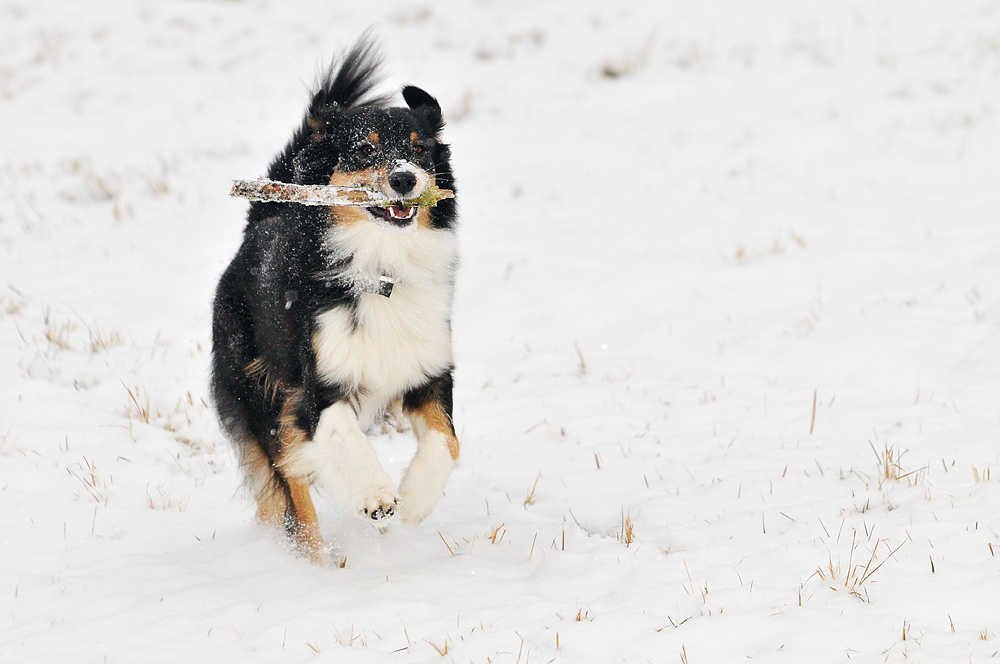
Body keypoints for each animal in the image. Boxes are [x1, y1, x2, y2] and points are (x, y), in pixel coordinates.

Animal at [214, 39, 460, 564]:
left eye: (419, 148)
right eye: (365, 148)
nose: (405, 180)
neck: (379, 268)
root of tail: (262, 218)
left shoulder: (429, 371)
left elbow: (447, 440)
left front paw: (414, 500)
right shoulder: (320, 387)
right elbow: (343, 435)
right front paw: (375, 495)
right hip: (262, 394)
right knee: (291, 480)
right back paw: (319, 563)